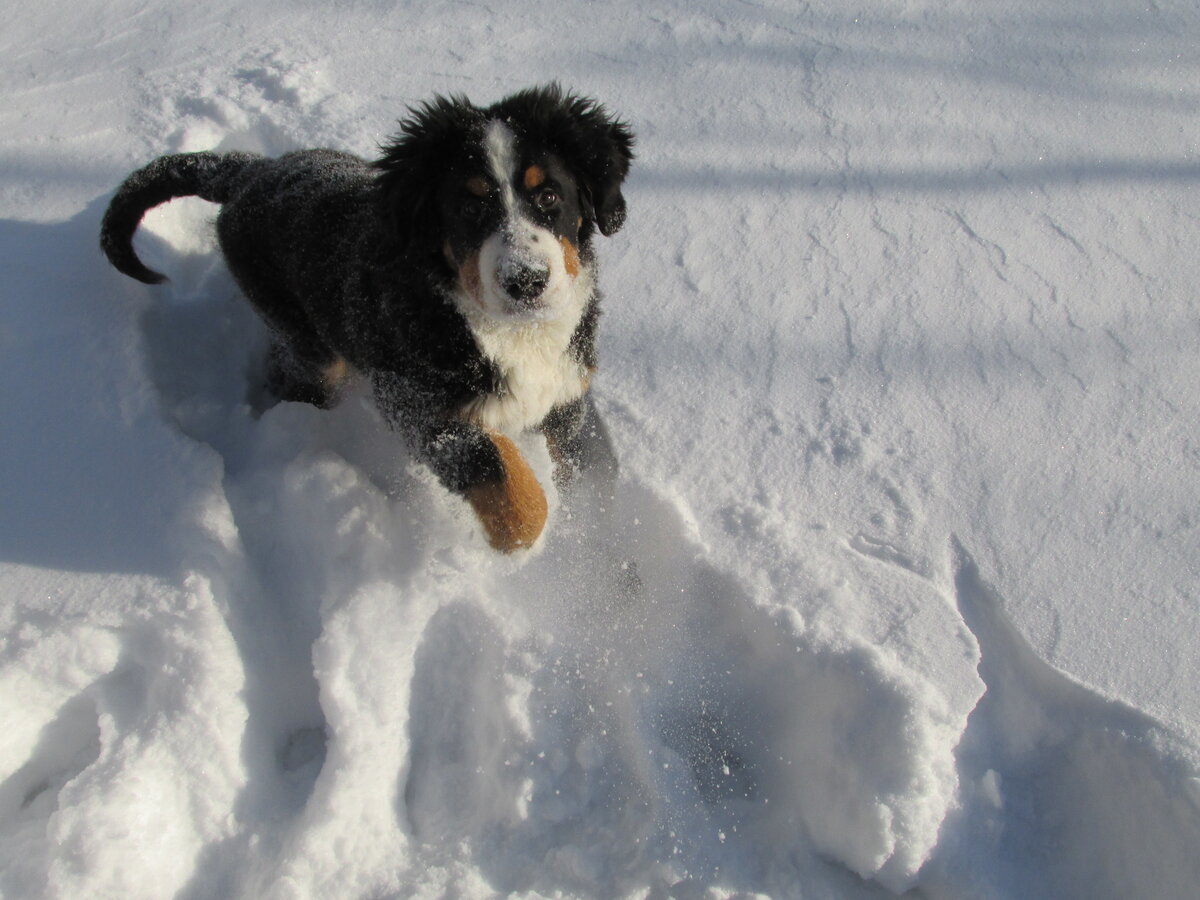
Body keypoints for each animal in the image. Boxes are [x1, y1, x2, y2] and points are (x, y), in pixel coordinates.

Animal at [100, 84, 638, 554]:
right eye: (469, 206)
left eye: (549, 196)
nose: (525, 281)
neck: (511, 332)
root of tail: (251, 171)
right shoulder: (411, 398)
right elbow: (495, 468)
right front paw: (526, 542)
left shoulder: (567, 393)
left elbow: (588, 476)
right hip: (310, 343)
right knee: (294, 372)